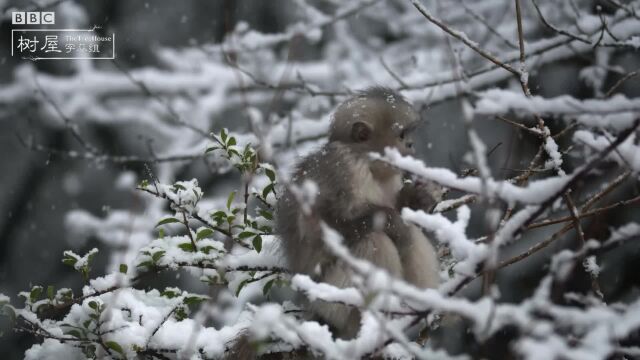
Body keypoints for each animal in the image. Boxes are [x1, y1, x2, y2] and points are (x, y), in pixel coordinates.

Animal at [278, 86, 442, 338]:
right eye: (401, 136)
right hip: (332, 298)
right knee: (376, 241)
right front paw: (395, 223)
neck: (367, 163)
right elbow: (321, 227)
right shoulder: (344, 168)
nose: (411, 145)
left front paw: (421, 198)